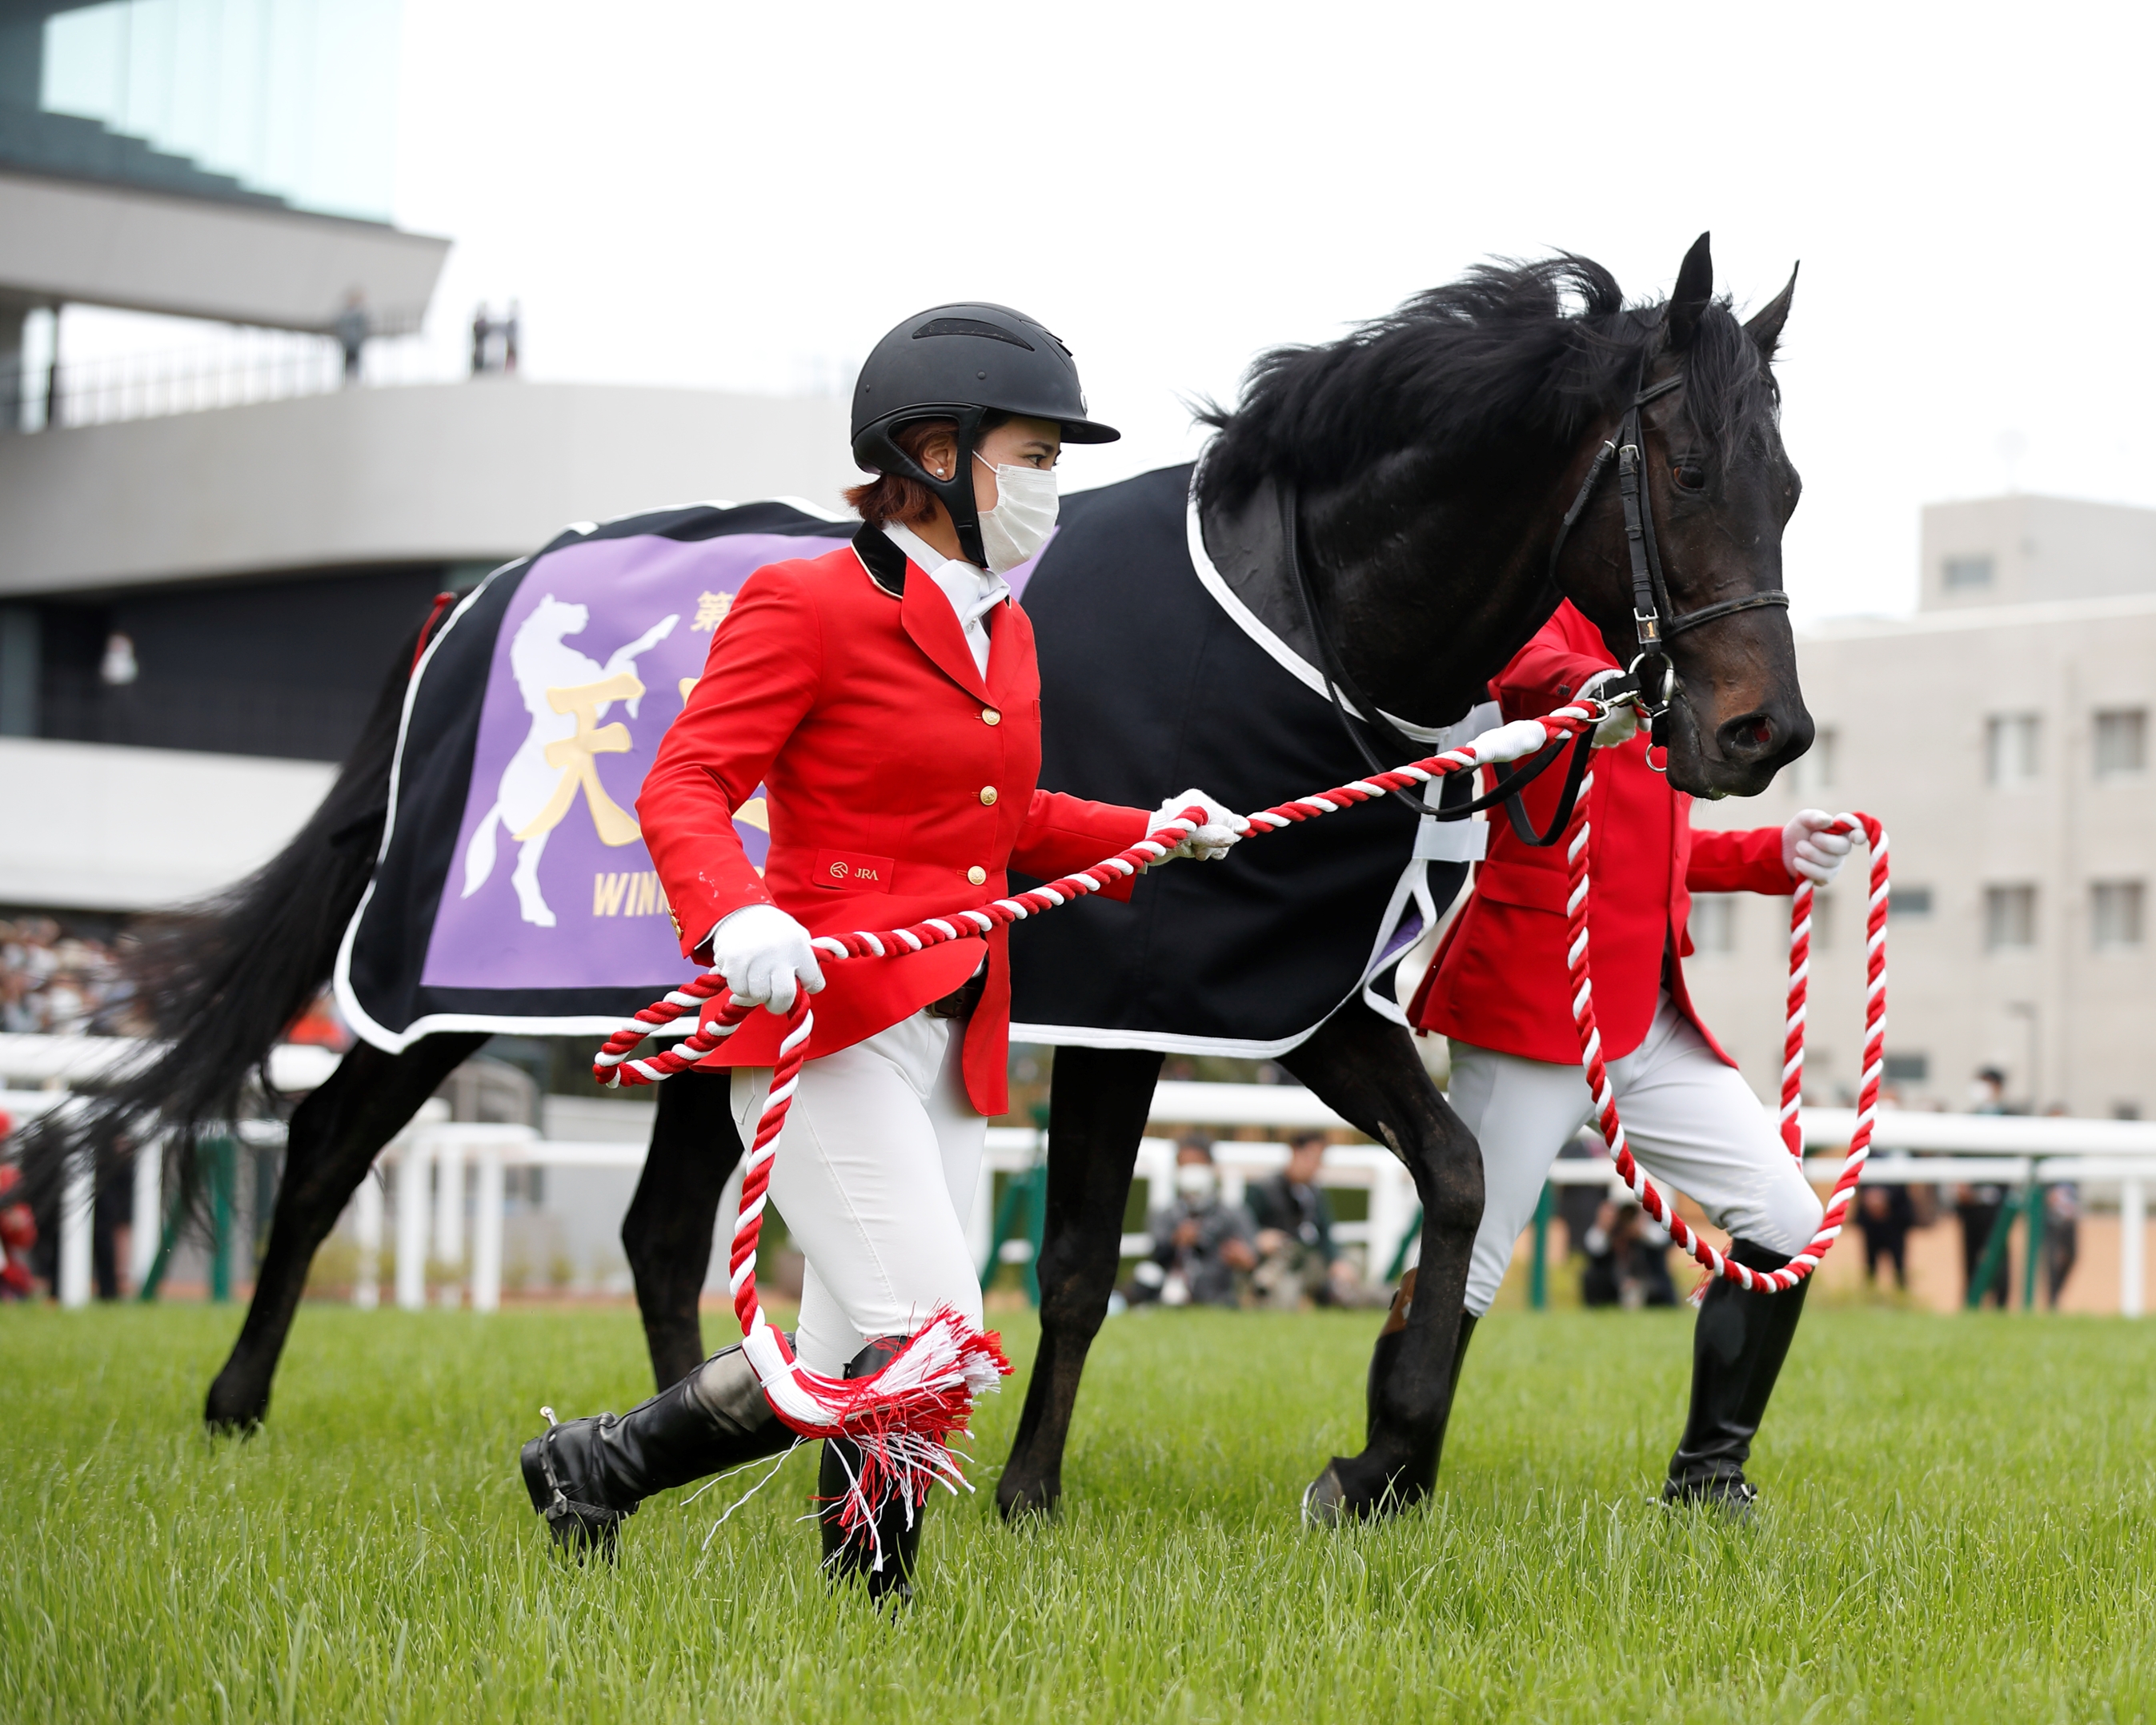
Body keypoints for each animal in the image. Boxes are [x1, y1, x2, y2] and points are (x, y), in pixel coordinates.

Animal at [38, 239, 1819, 1526]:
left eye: (1790, 489)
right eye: (1683, 470)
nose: (1764, 734)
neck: (1300, 613)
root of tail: (473, 594)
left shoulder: (1294, 991)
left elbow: (1448, 1179)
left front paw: (1379, 1462)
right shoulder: (1165, 999)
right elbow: (1096, 1258)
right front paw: (1043, 1492)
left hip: (706, 1018)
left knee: (661, 1222)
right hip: (438, 990)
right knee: (329, 1143)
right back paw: (237, 1402)